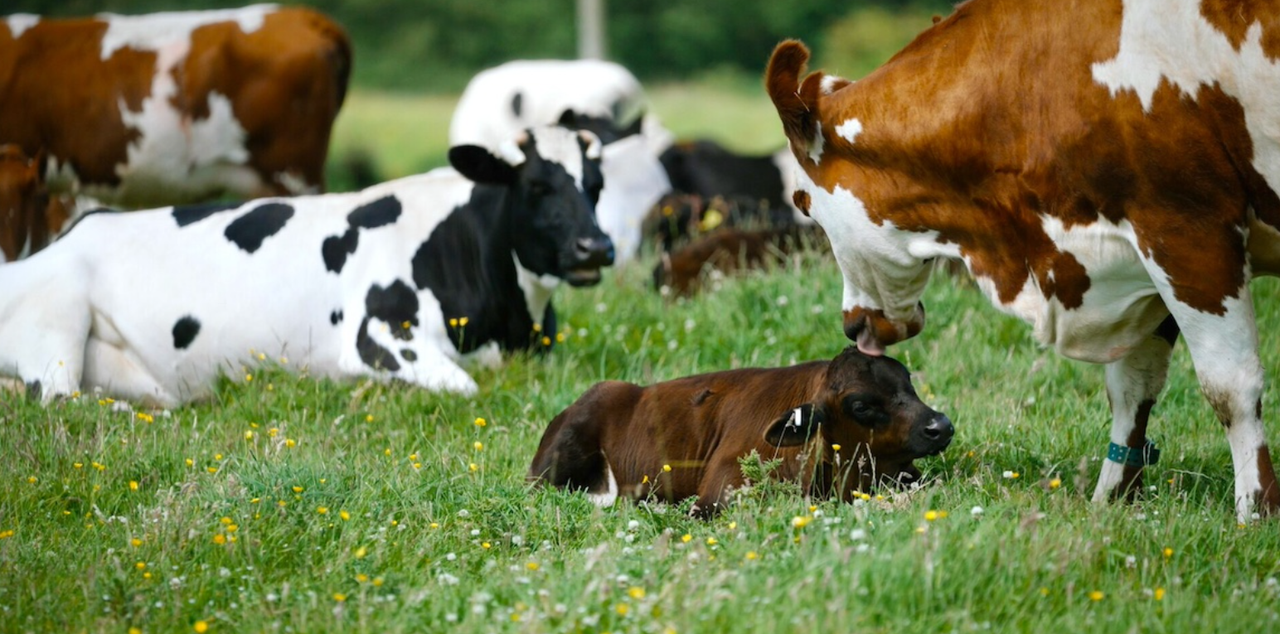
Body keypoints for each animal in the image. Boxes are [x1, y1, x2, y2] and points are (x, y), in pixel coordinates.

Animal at [0, 126, 613, 406]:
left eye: (597, 184)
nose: (596, 247)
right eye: (536, 185)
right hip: (59, 319)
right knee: (58, 398)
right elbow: (463, 386)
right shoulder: (379, 333)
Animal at [765, 0, 1280, 522]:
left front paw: (1256, 513)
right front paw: (1112, 501)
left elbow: (1229, 388)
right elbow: (1132, 389)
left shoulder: (1187, 229)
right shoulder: (1139, 257)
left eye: (803, 203)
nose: (851, 325)